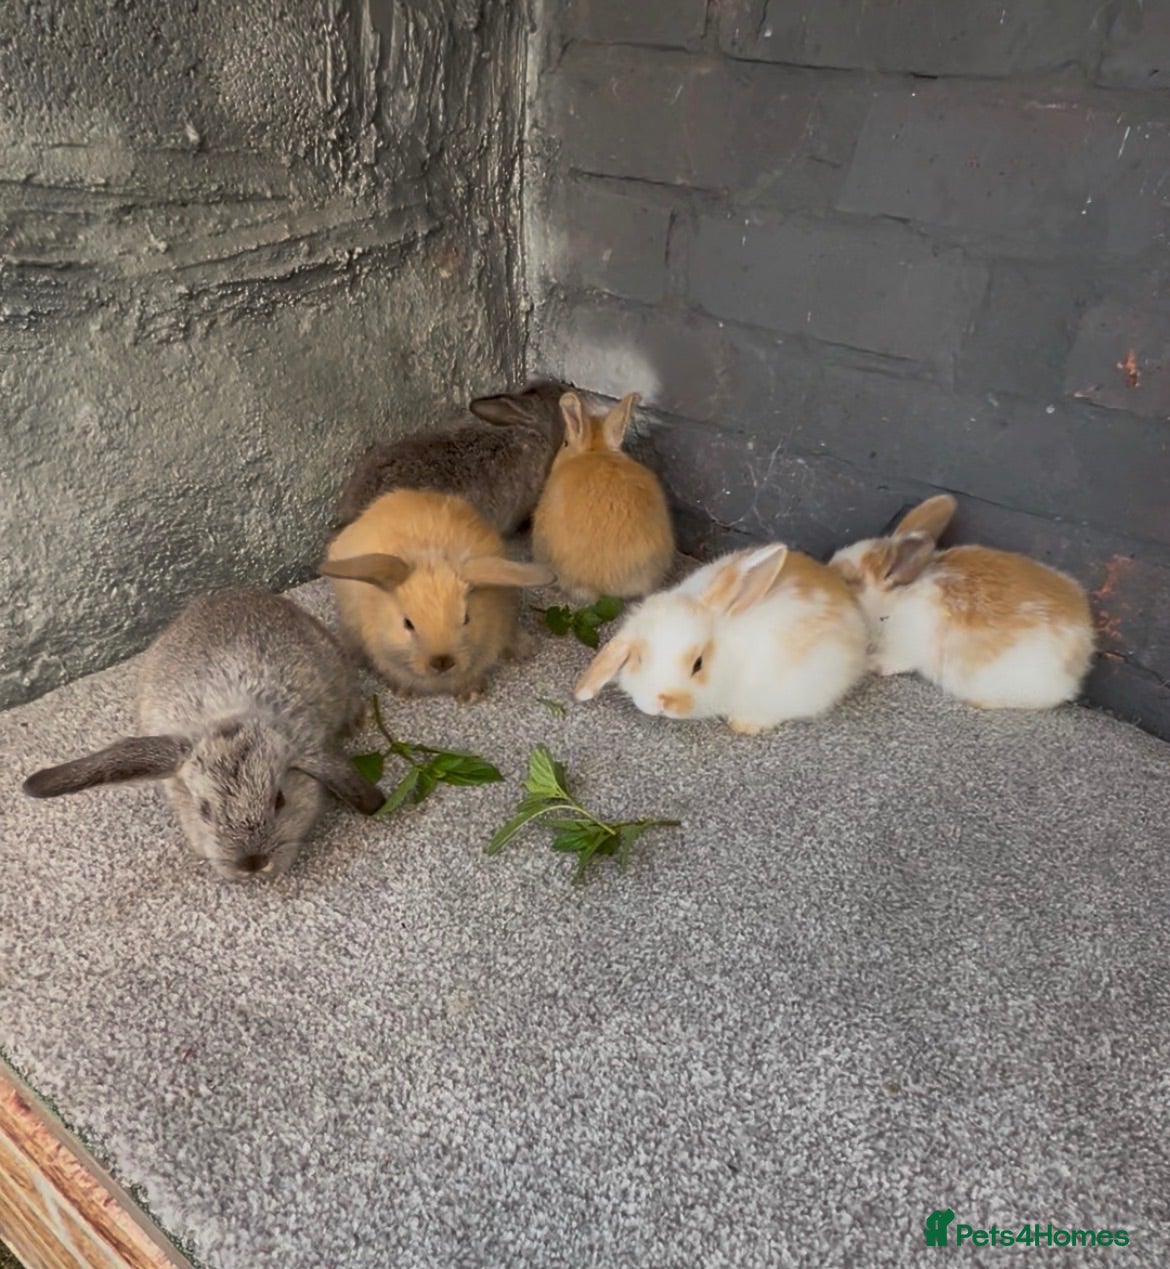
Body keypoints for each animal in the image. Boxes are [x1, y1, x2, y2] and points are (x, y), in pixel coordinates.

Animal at [828, 494, 1096, 709]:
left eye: (848, 580)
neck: (892, 602)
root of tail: (1080, 654)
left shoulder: (907, 647)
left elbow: (895, 661)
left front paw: (872, 664)